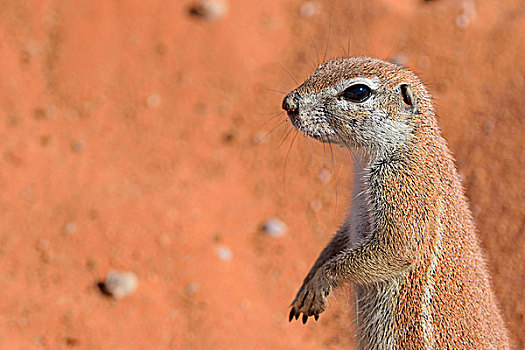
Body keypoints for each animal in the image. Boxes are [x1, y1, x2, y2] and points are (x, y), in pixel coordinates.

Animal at [284, 56, 510, 348]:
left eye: (358, 91)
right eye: (322, 67)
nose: (288, 103)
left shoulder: (403, 185)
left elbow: (399, 247)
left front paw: (321, 280)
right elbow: (339, 240)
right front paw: (309, 279)